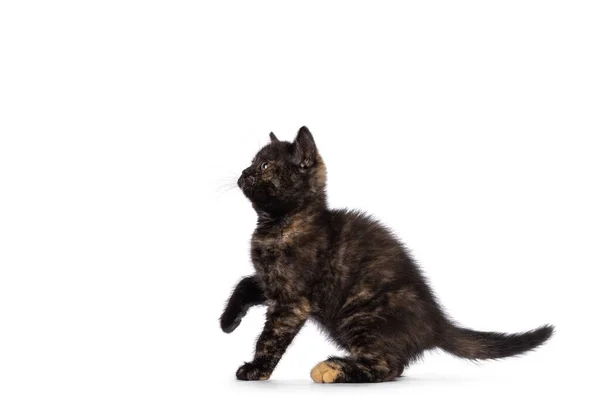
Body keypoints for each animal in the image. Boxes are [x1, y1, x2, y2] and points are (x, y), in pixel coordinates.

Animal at [220, 127, 552, 384]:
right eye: (252, 163)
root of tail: (437, 323)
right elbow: (244, 284)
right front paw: (228, 321)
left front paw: (256, 369)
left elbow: (270, 338)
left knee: (387, 366)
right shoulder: (269, 281)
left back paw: (333, 369)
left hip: (360, 315)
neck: (277, 224)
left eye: (265, 166)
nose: (244, 173)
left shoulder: (292, 301)